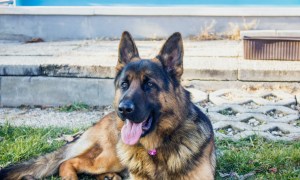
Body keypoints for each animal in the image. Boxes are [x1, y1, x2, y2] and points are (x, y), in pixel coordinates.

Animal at [0, 31, 216, 179]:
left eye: (149, 84)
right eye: (124, 84)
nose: (123, 109)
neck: (156, 147)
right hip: (111, 157)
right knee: (68, 162)